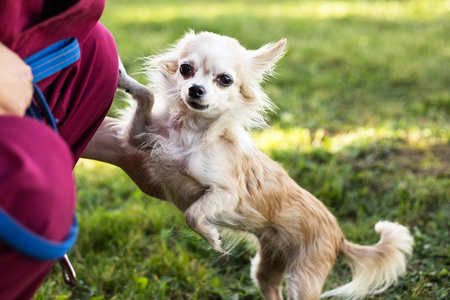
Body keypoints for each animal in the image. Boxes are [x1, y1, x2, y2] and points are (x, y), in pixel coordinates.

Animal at [117, 31, 414, 300]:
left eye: (225, 80)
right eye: (185, 69)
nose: (195, 89)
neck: (190, 132)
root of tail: (339, 235)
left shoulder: (228, 195)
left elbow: (193, 213)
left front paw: (212, 238)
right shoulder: (138, 136)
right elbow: (147, 96)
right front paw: (124, 79)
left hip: (303, 278)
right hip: (267, 267)